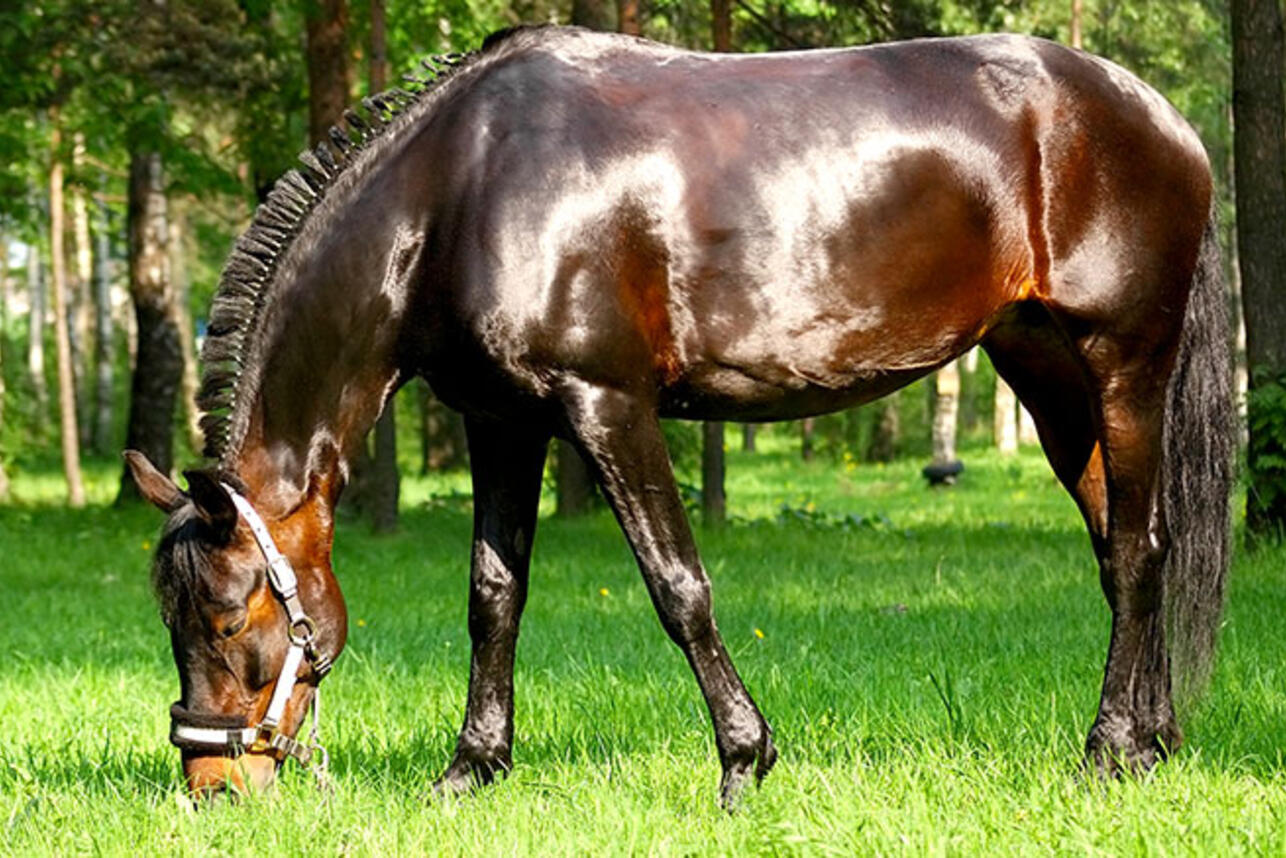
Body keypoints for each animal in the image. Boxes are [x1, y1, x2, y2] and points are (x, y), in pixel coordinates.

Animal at [125, 25, 1229, 807]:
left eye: (231, 617)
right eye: (168, 619)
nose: (212, 786)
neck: (460, 191)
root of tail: (1161, 118)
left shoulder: (608, 408)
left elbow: (677, 587)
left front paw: (744, 760)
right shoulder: (503, 424)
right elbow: (492, 594)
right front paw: (471, 768)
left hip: (1123, 364)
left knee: (1138, 551)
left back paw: (1107, 752)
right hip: (1043, 372)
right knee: (1124, 545)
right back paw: (1155, 742)